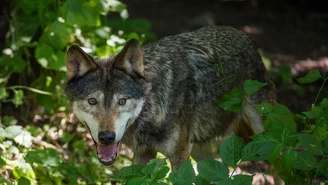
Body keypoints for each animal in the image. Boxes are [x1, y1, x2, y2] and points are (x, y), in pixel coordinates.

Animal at [63, 25, 274, 170]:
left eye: (122, 101)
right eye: (92, 101)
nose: (107, 137)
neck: (153, 104)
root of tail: (244, 35)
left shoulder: (179, 157)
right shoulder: (143, 154)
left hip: (266, 136)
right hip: (199, 150)